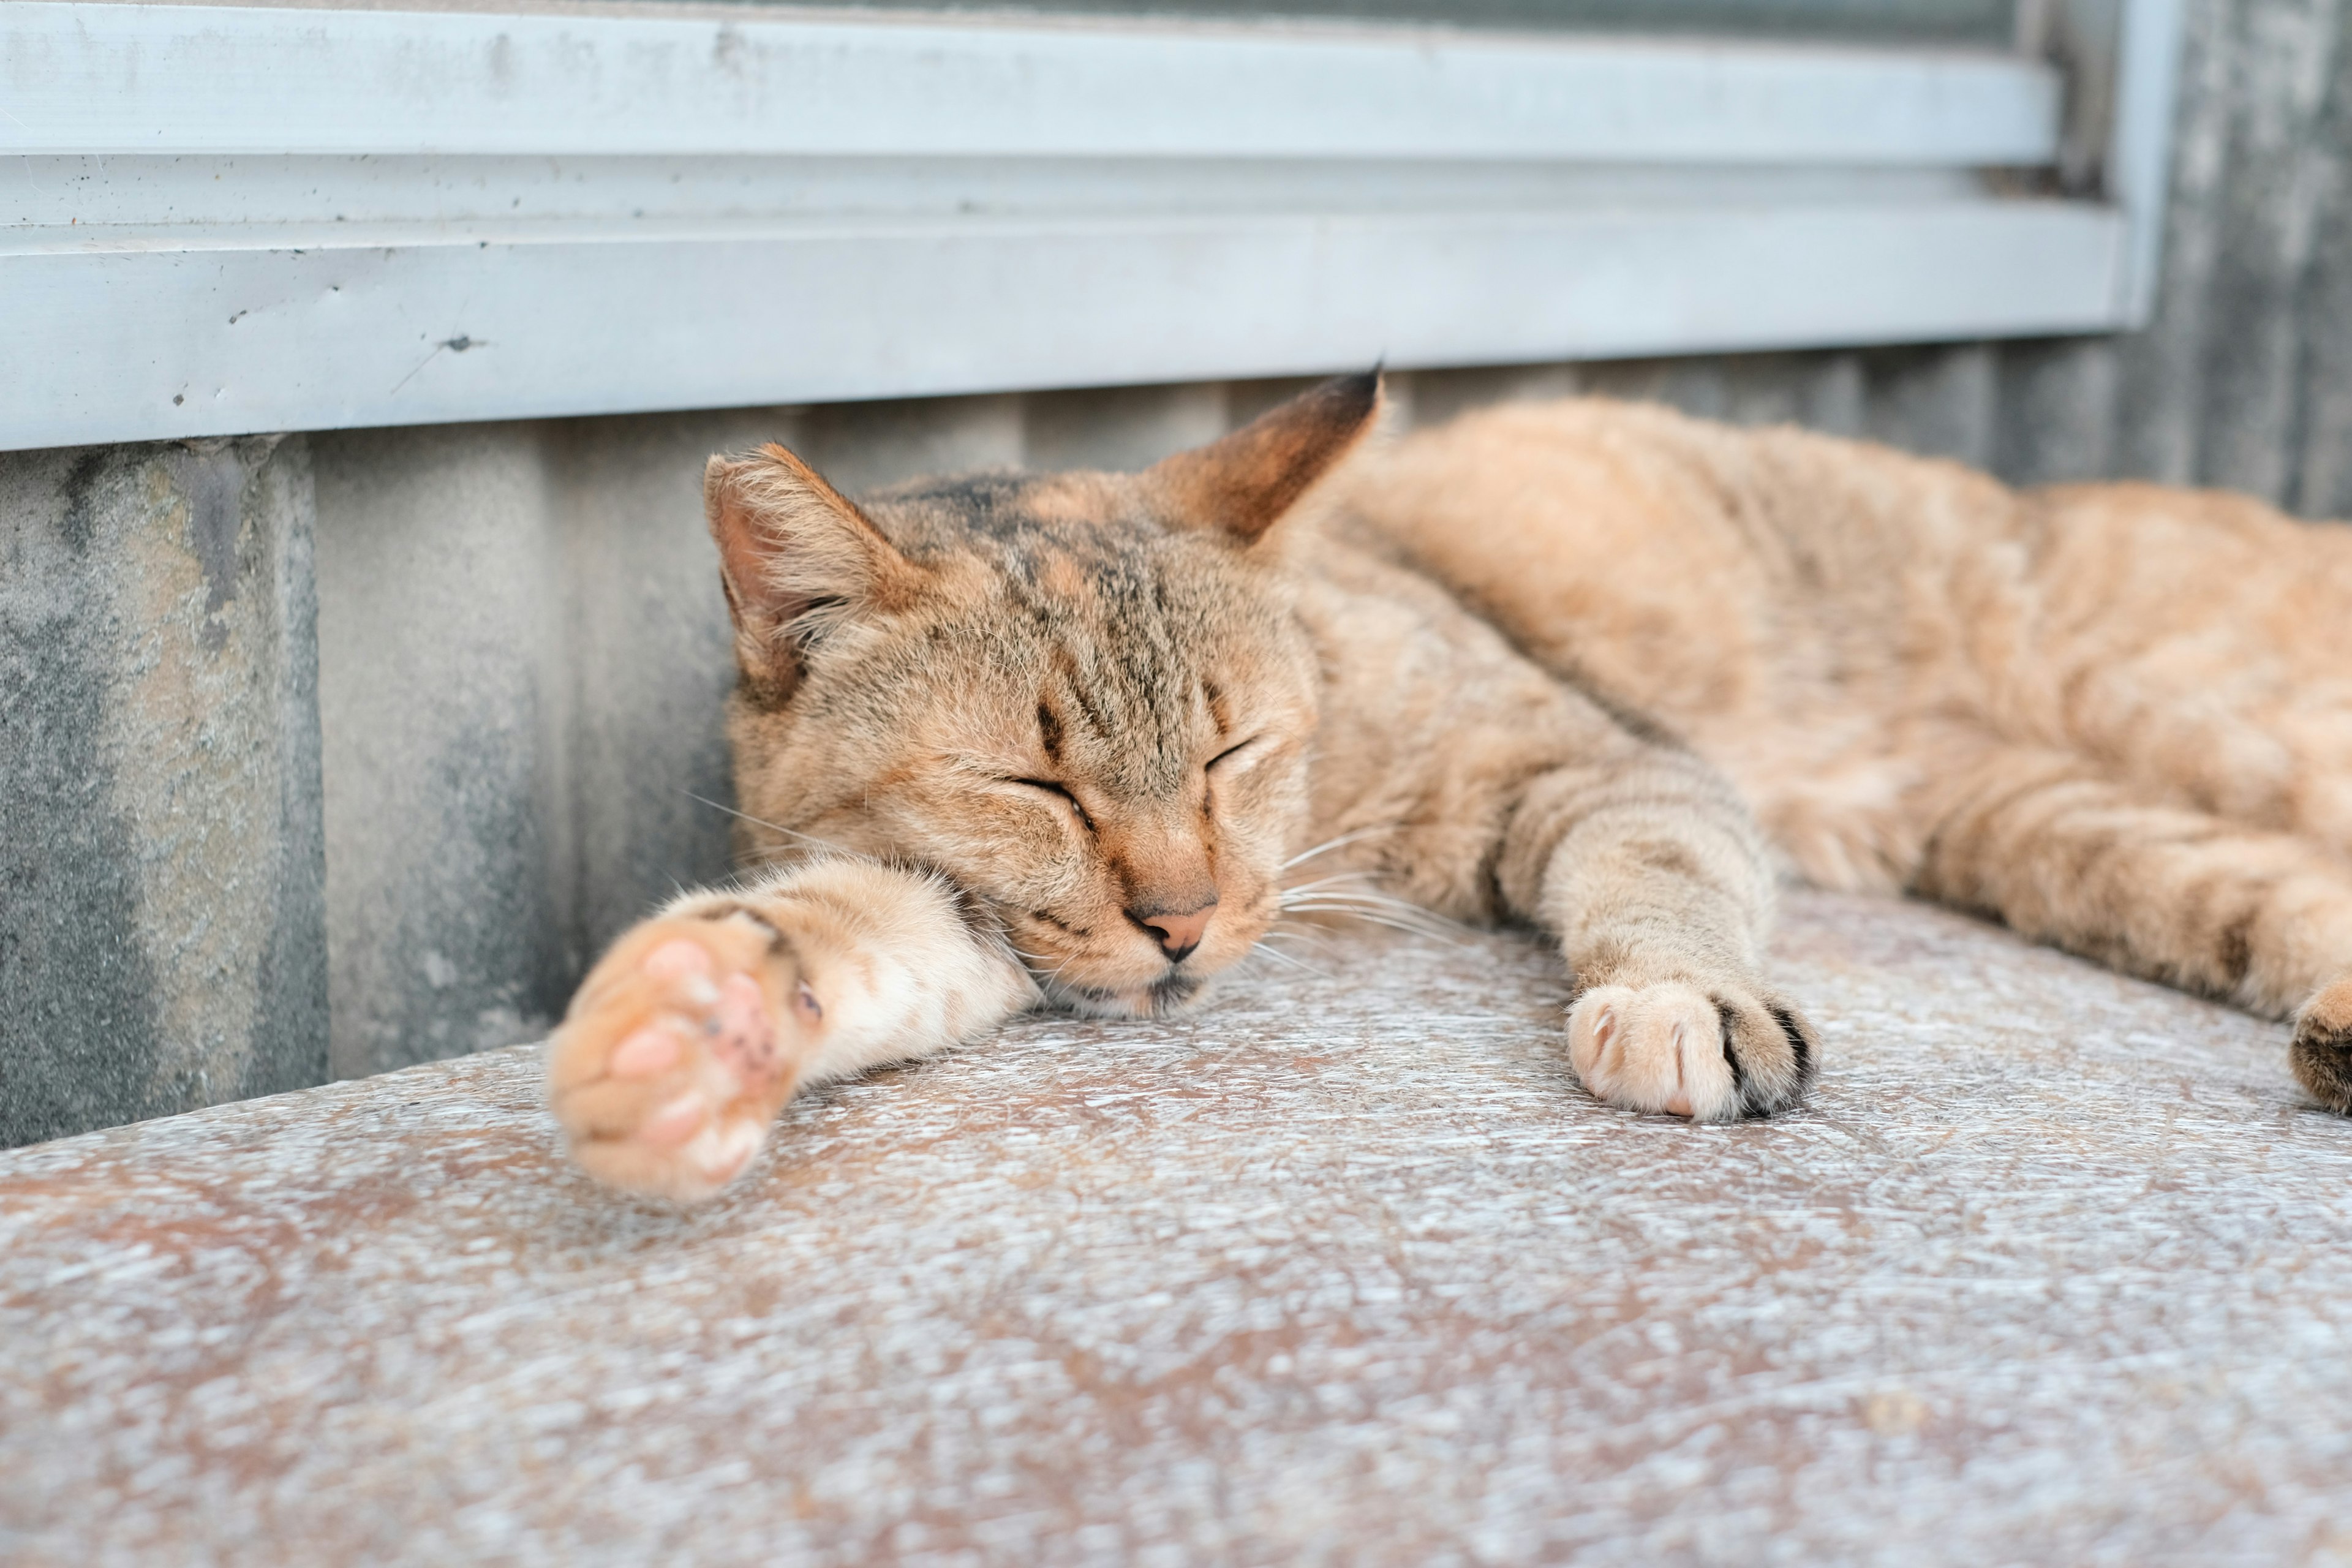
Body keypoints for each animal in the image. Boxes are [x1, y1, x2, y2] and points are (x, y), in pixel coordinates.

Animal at [541, 371, 2352, 1204]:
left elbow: (1658, 874)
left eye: (1229, 748)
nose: (1184, 919)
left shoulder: (1611, 761)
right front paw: (697, 1026)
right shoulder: (1009, 923)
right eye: (1031, 784)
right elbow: (849, 927)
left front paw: (1684, 996)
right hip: (2059, 830)